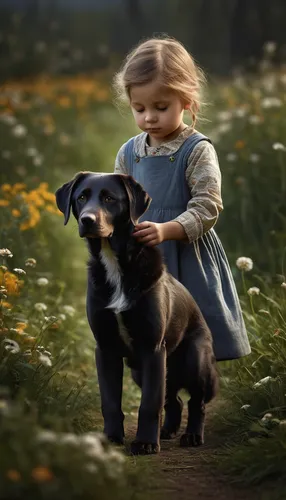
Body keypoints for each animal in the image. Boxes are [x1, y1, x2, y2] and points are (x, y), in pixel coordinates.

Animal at [55, 174, 217, 456]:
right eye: (81, 198)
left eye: (109, 198)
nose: (87, 220)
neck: (115, 264)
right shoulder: (105, 348)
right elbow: (110, 401)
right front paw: (111, 438)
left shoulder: (152, 348)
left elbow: (149, 404)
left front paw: (145, 443)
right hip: (143, 371)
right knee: (174, 399)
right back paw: (168, 431)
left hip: (195, 360)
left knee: (196, 402)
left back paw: (192, 435)